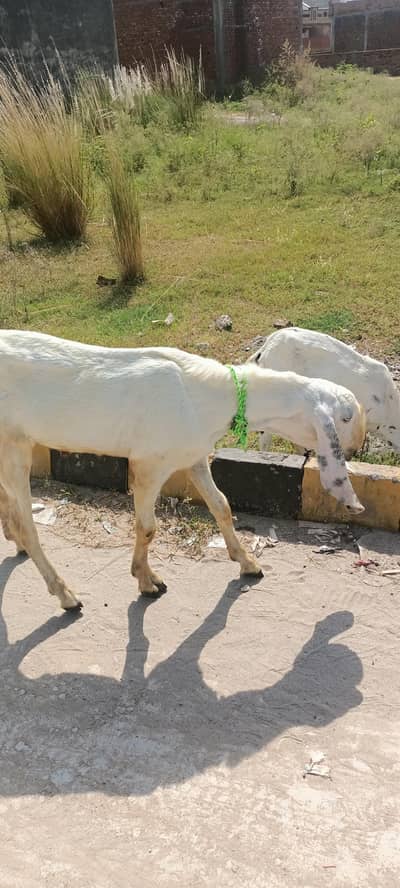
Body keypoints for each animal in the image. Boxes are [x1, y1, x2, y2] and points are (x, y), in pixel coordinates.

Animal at [0, 331, 365, 610]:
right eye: (346, 417)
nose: (356, 447)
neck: (208, 396)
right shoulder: (149, 463)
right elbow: (148, 527)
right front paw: (145, 580)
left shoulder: (195, 456)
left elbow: (222, 505)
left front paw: (247, 562)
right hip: (14, 446)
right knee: (28, 523)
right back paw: (64, 594)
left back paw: (15, 541)